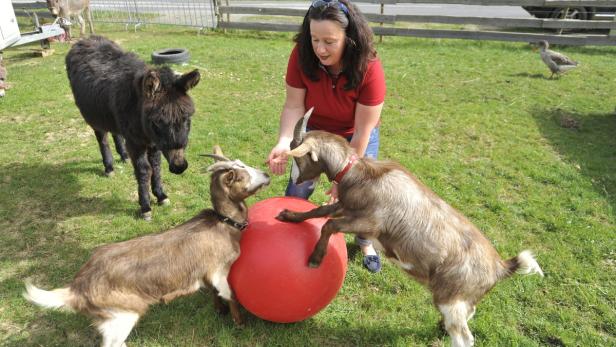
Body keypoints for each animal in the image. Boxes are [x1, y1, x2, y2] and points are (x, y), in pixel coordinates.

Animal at [24, 147, 270, 347]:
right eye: (242, 174)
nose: (267, 175)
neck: (223, 223)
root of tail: (77, 289)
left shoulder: (206, 274)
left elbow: (214, 294)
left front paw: (219, 311)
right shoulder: (219, 271)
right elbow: (231, 295)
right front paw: (240, 323)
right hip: (121, 316)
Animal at [276, 109, 540, 347]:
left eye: (297, 157)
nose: (296, 179)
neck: (365, 174)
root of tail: (500, 267)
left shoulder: (370, 223)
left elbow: (329, 225)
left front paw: (314, 259)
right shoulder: (346, 206)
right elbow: (319, 212)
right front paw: (288, 215)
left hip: (451, 298)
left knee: (464, 338)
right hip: (463, 300)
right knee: (468, 316)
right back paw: (440, 327)